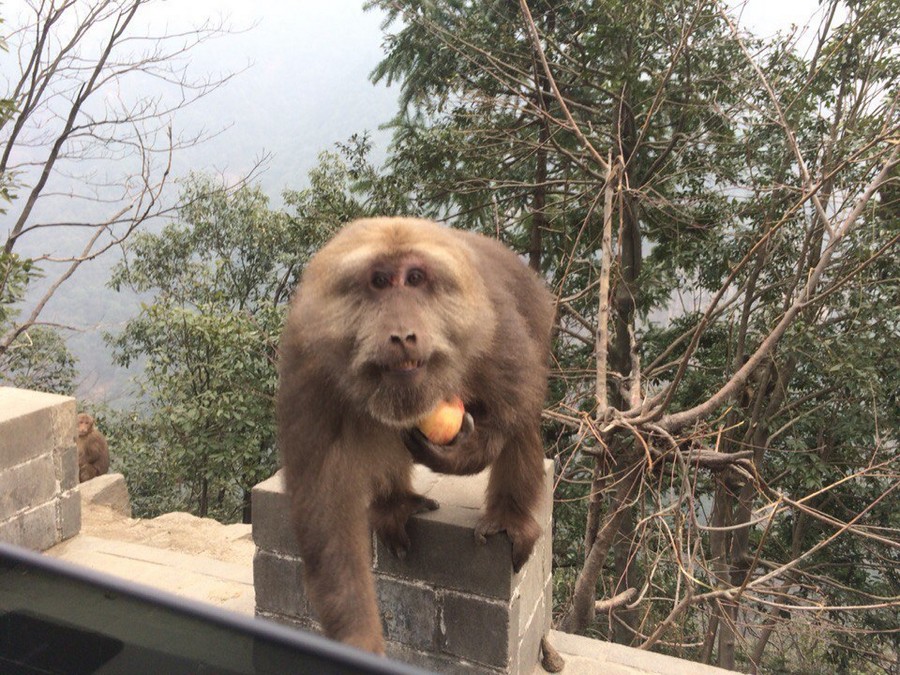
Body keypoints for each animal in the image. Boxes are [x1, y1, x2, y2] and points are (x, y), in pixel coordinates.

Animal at [274, 217, 556, 656]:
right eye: (379, 281)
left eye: (416, 278)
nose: (403, 334)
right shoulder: (310, 360)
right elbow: (325, 499)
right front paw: (358, 637)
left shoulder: (489, 321)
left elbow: (517, 397)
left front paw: (464, 453)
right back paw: (395, 502)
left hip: (535, 310)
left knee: (522, 414)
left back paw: (511, 517)